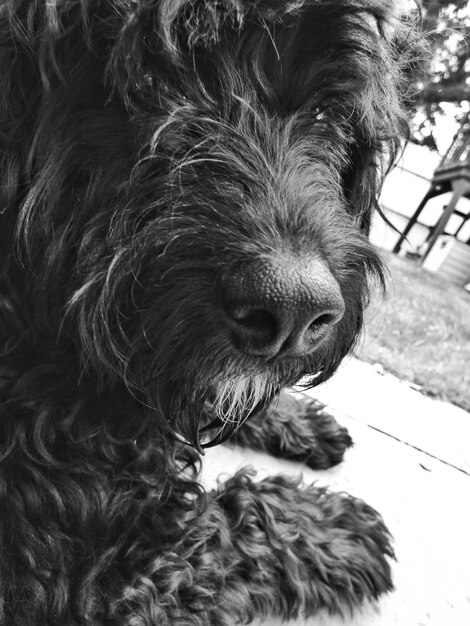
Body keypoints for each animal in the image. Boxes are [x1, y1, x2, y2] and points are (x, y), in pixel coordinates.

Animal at [0, 1, 418, 624]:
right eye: (139, 80)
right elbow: (233, 522)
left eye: (325, 110)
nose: (293, 312)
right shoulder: (94, 589)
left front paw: (297, 419)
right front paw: (336, 525)